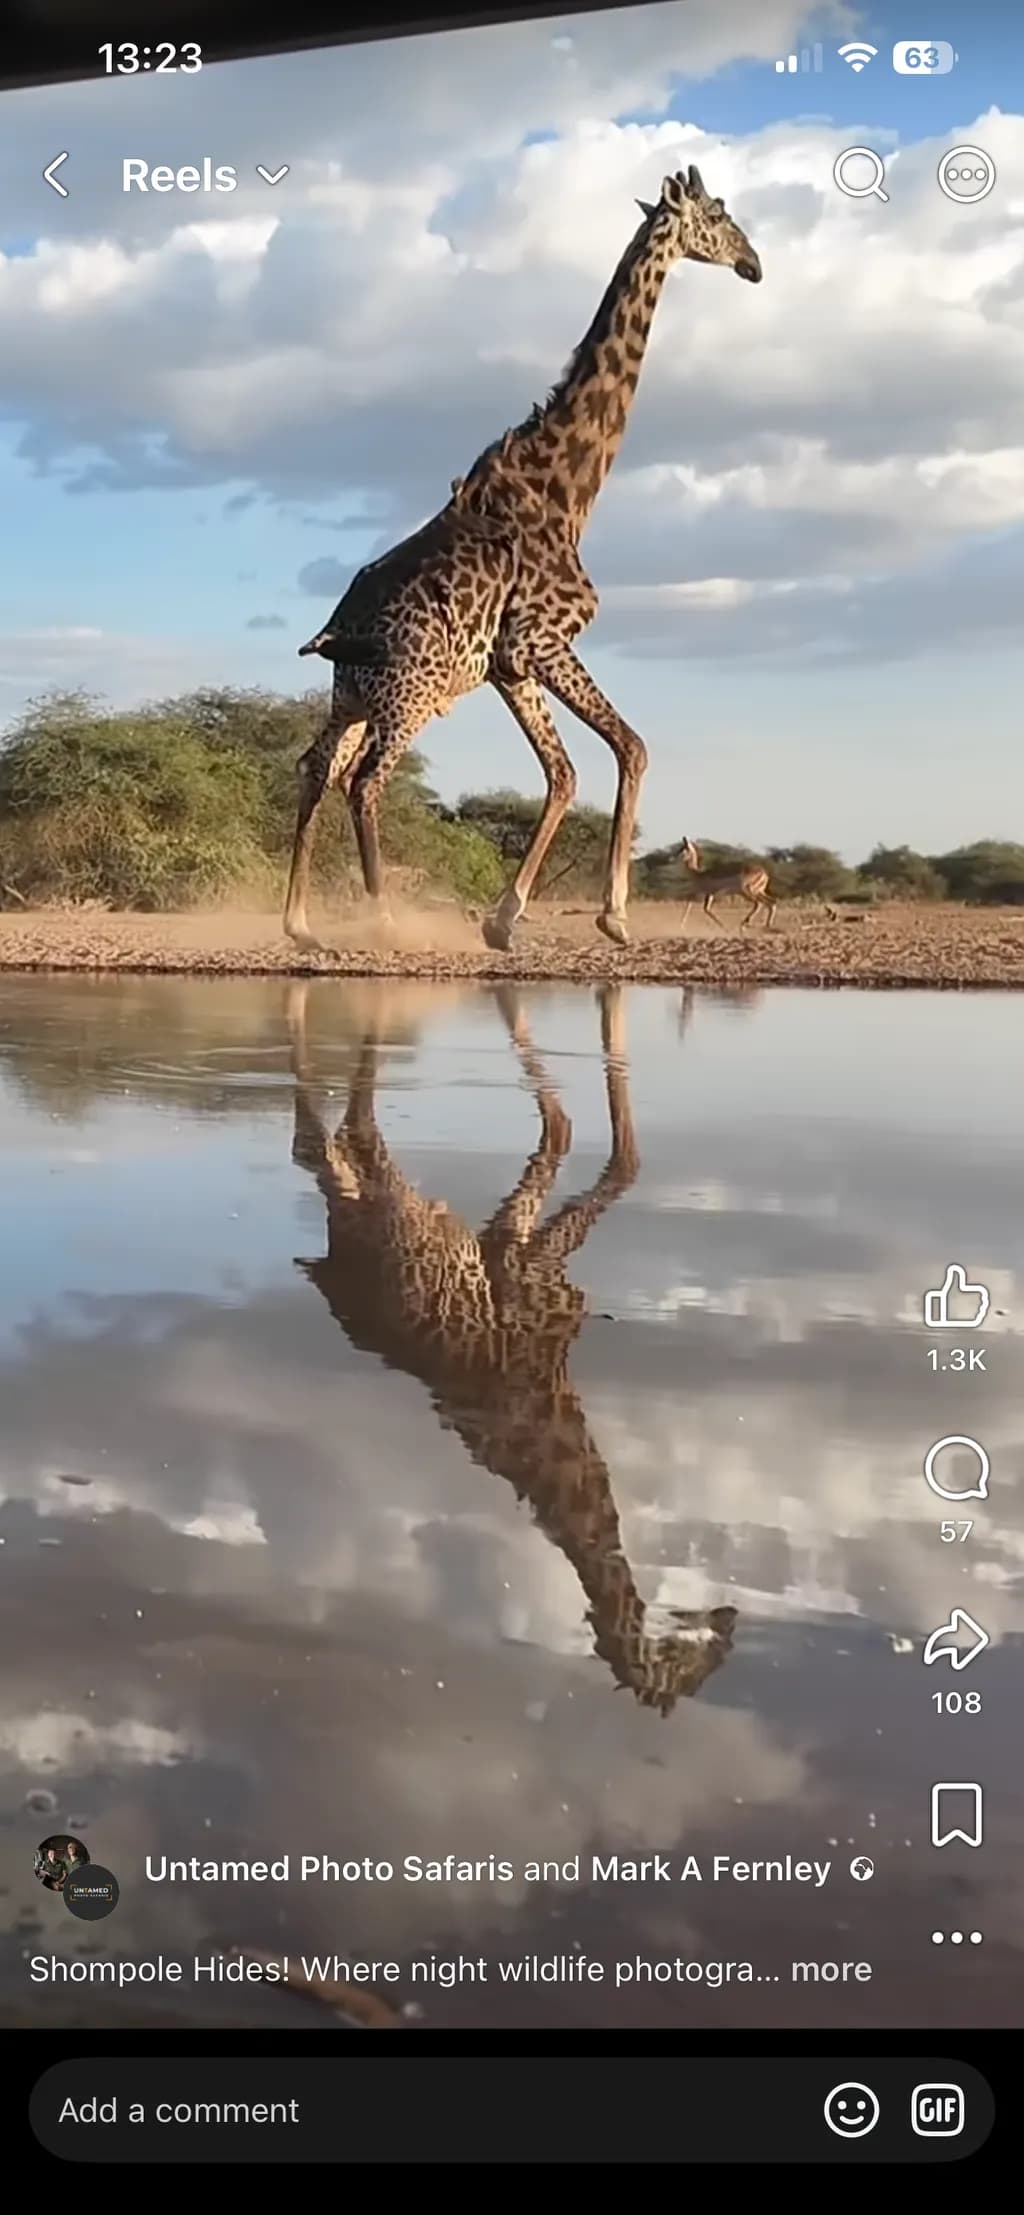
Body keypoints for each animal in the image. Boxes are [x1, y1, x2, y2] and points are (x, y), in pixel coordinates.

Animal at [285, 166, 762, 954]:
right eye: (720, 216)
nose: (754, 265)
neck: (567, 490)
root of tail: (335, 629)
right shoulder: (543, 640)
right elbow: (630, 746)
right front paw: (612, 915)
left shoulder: (510, 664)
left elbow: (565, 772)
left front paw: (505, 918)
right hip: (411, 693)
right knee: (367, 782)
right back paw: (383, 918)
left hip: (352, 695)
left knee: (316, 768)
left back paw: (299, 923)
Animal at [287, 980, 737, 1714]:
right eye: (695, 1673)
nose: (726, 1621)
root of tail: (332, 1270)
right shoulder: (522, 1262)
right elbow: (608, 1158)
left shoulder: (509, 1240)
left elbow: (563, 1132)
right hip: (395, 1203)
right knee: (351, 1125)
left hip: (364, 1200)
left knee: (319, 1143)